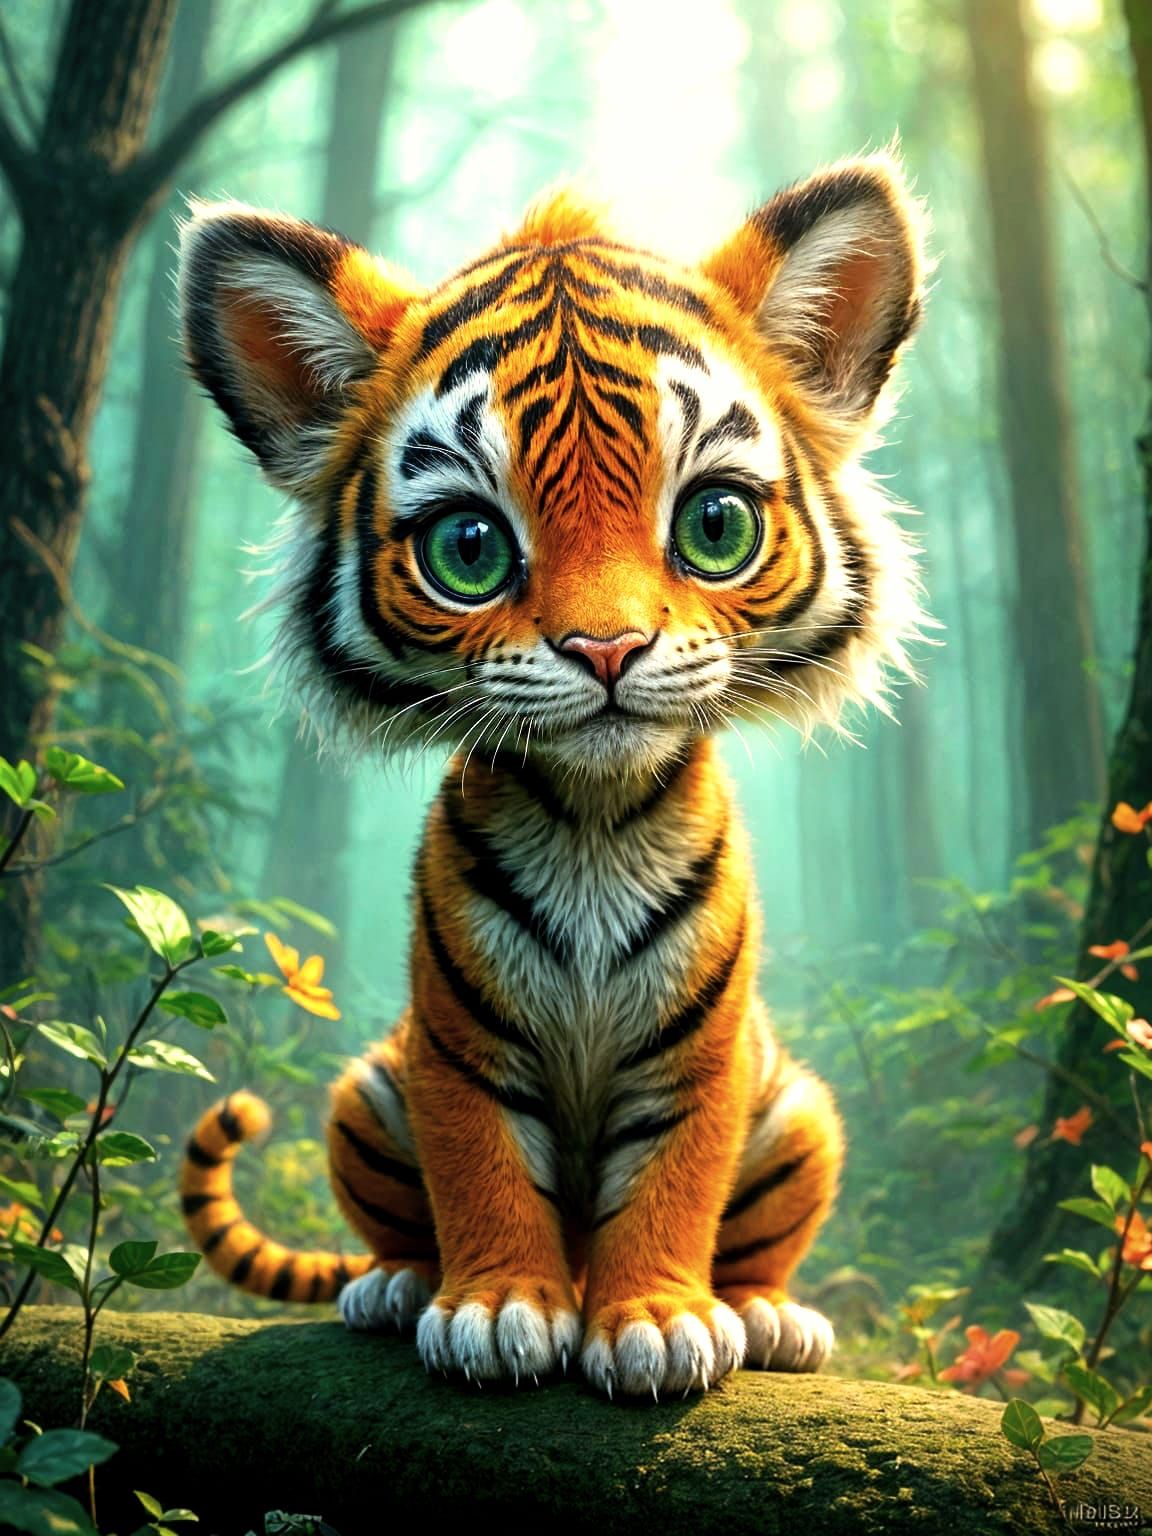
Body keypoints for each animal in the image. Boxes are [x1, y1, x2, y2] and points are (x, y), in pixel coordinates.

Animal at [176, 151, 927, 1398]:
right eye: (470, 548)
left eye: (714, 526)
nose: (607, 649)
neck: (593, 819)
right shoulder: (455, 1046)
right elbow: (481, 1169)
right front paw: (495, 1311)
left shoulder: (701, 1058)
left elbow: (675, 1181)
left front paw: (659, 1321)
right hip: (366, 1095)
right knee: (395, 1229)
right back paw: (396, 1288)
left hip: (801, 1117)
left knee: (760, 1243)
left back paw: (765, 1315)